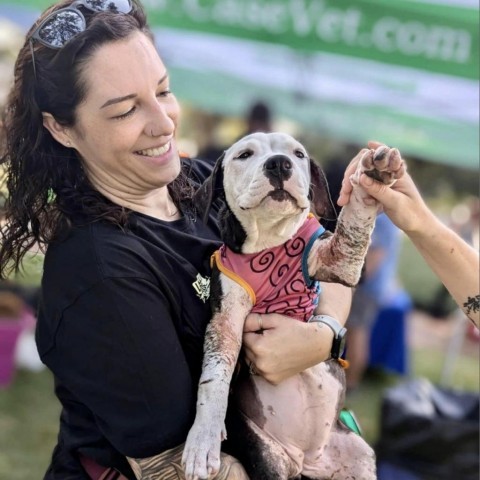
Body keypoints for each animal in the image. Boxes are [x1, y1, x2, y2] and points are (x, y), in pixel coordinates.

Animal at [184, 132, 404, 480]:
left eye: (298, 154)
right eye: (244, 155)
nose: (279, 163)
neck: (269, 240)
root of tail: (309, 461)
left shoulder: (337, 261)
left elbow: (353, 225)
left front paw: (374, 177)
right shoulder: (225, 321)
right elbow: (213, 379)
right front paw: (203, 439)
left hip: (360, 457)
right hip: (267, 457)